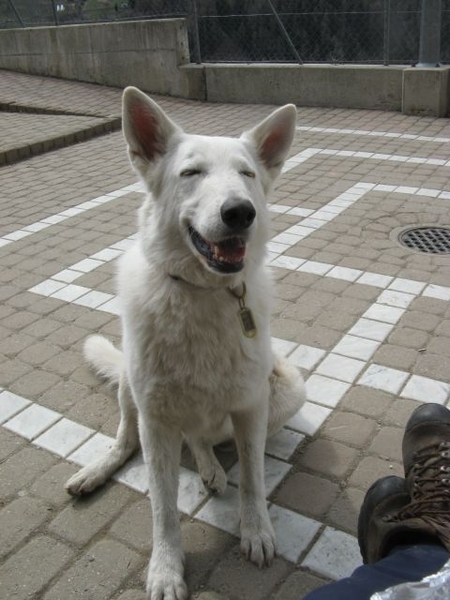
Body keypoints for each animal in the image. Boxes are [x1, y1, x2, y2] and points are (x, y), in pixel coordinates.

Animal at [66, 89, 306, 600]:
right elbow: (163, 508)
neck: (202, 294)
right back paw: (97, 470)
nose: (240, 212)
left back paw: (212, 468)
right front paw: (165, 569)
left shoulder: (251, 407)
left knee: (202, 438)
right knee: (126, 439)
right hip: (130, 384)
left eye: (247, 174)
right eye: (191, 173)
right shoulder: (156, 421)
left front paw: (256, 531)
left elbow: (253, 480)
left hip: (287, 391)